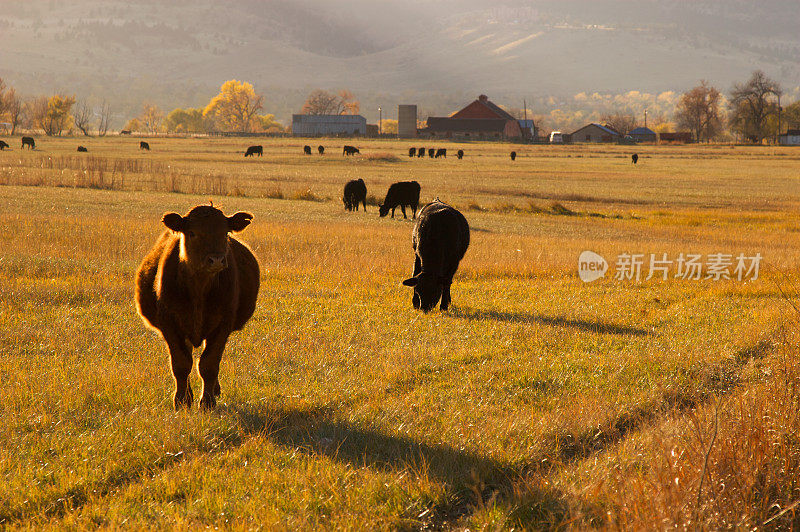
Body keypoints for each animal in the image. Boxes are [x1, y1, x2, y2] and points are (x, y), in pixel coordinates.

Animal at [134, 206, 260, 410]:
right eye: (192, 233)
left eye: (225, 233)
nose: (216, 260)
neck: (198, 290)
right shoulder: (169, 325)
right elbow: (181, 364)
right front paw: (181, 401)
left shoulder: (223, 326)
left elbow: (209, 364)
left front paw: (207, 402)